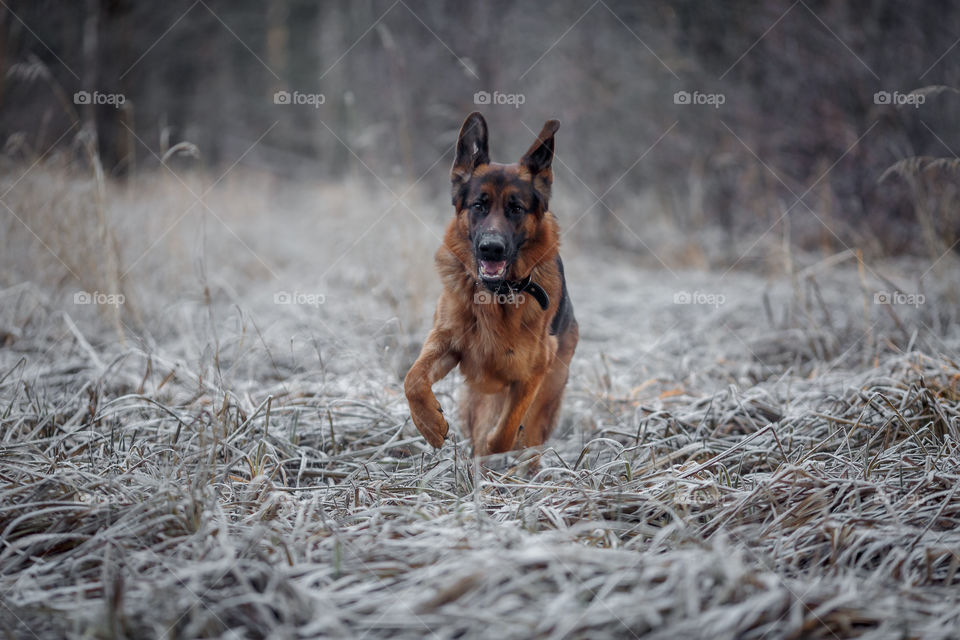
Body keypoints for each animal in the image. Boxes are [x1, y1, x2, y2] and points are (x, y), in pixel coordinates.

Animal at [404, 114, 576, 456]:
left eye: (516, 208)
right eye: (478, 205)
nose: (491, 249)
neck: (497, 297)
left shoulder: (533, 372)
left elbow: (503, 435)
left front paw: (496, 445)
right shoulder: (446, 341)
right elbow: (412, 379)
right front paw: (430, 425)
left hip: (544, 402)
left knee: (526, 436)